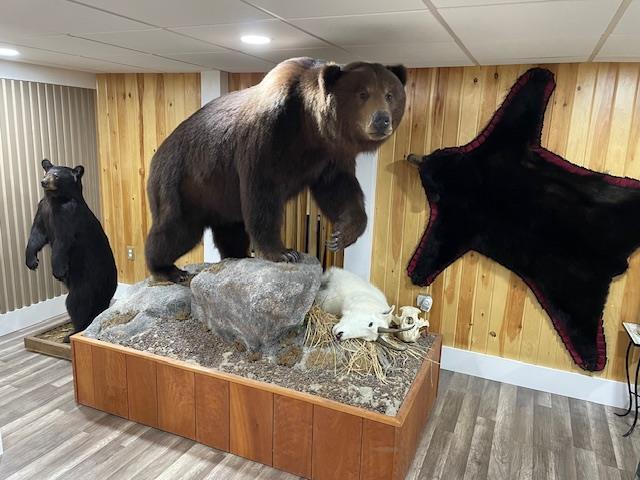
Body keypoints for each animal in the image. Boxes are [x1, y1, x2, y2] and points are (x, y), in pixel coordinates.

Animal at [26, 159, 117, 341]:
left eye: (56, 175)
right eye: (47, 171)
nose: (43, 181)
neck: (56, 199)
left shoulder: (68, 216)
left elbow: (62, 242)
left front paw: (58, 271)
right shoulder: (42, 209)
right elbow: (37, 235)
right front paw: (31, 261)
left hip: (86, 282)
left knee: (77, 304)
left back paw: (72, 333)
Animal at [145, 57, 407, 283]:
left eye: (389, 94)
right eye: (363, 94)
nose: (382, 120)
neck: (310, 128)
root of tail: (157, 155)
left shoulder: (330, 155)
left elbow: (340, 188)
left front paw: (341, 234)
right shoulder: (269, 135)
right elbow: (263, 193)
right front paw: (284, 252)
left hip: (221, 195)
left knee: (230, 227)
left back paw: (237, 255)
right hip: (185, 182)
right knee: (177, 229)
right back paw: (167, 269)